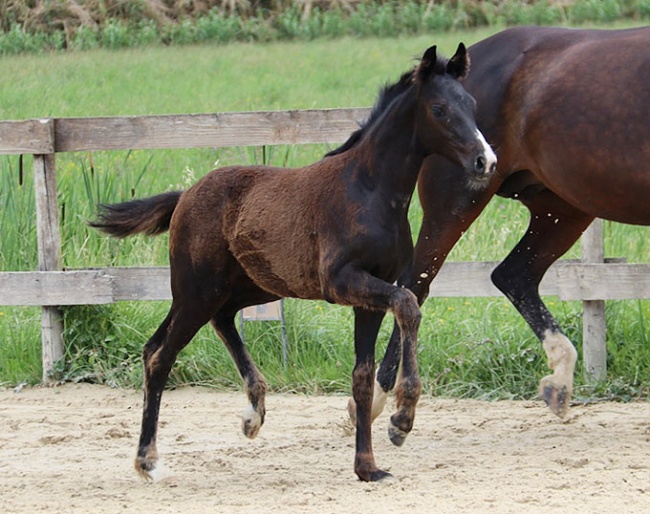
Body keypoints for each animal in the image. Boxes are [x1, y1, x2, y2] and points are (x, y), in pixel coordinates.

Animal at [91, 44, 494, 480]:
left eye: (472, 105)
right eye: (439, 109)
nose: (486, 161)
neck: (369, 190)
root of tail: (184, 195)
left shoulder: (371, 296)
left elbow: (362, 375)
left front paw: (367, 466)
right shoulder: (342, 281)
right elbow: (408, 306)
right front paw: (402, 418)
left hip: (243, 288)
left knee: (209, 324)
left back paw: (253, 413)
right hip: (197, 290)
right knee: (160, 355)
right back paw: (148, 459)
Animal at [332, 25, 644, 420]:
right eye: (442, 110)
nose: (485, 158)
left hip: (562, 208)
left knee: (513, 274)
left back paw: (558, 382)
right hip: (457, 203)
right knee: (416, 284)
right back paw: (382, 404)